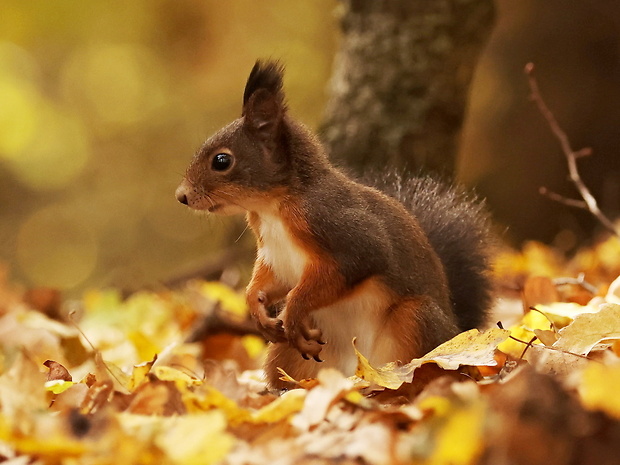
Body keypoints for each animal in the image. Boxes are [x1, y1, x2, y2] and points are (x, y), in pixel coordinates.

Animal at [176, 59, 494, 390]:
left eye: (221, 161)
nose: (181, 196)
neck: (273, 209)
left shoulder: (341, 229)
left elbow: (348, 267)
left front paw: (293, 310)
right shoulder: (274, 256)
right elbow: (269, 281)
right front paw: (256, 306)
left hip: (416, 319)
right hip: (288, 355)